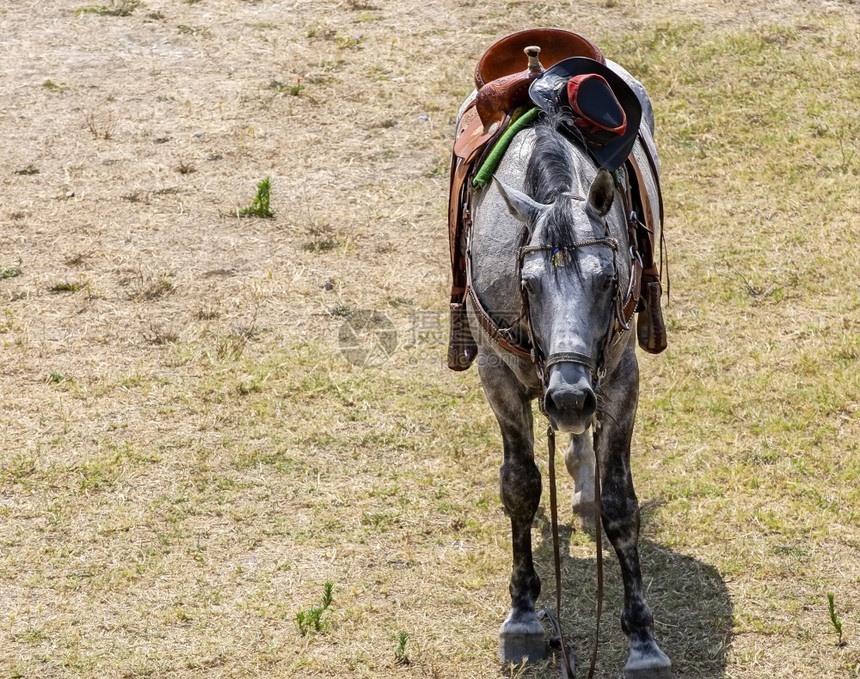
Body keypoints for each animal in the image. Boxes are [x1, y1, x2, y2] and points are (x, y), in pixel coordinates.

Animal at [464, 65, 672, 676]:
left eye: (607, 279)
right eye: (527, 283)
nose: (570, 398)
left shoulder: (620, 383)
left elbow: (620, 503)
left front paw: (642, 640)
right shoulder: (499, 381)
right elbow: (520, 486)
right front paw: (524, 616)